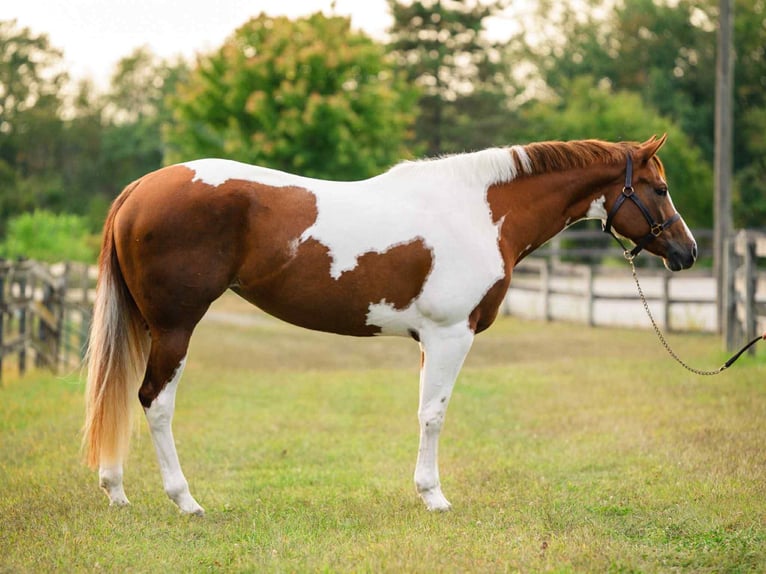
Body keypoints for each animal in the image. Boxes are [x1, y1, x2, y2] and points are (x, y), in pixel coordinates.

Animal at [83, 135, 697, 515]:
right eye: (661, 189)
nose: (686, 252)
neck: (480, 211)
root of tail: (139, 189)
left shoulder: (430, 339)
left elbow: (424, 411)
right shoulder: (451, 334)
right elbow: (434, 415)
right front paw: (434, 497)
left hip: (149, 326)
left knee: (123, 393)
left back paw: (115, 491)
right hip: (175, 327)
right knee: (155, 401)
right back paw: (185, 500)